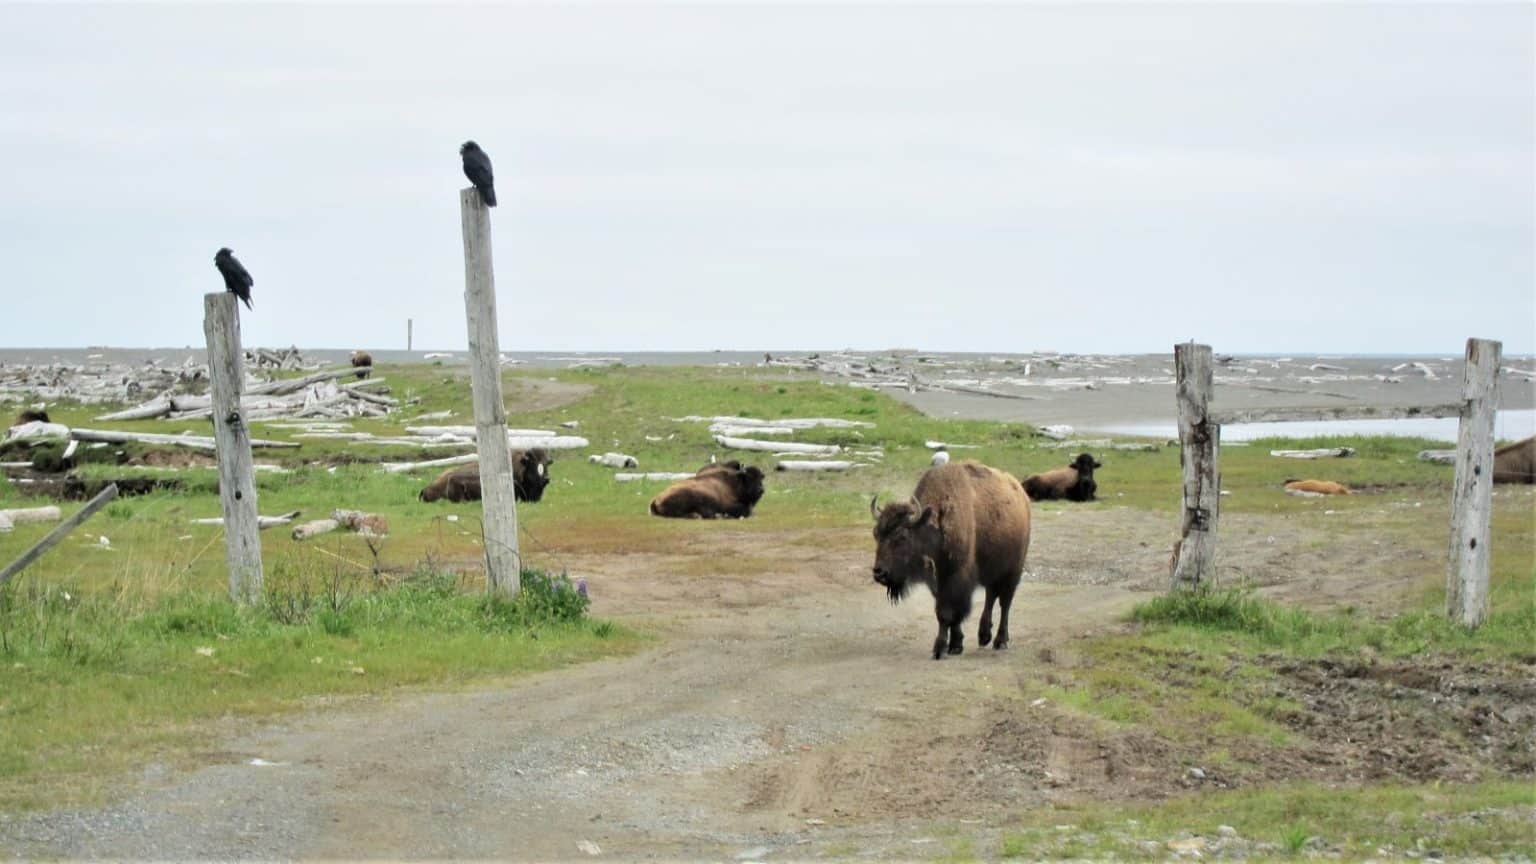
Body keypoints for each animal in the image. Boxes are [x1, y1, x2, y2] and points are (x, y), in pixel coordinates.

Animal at [872, 460, 1032, 660]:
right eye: (876, 534)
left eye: (902, 537)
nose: (879, 573)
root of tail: (1022, 495)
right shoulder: (938, 582)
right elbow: (946, 613)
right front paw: (955, 645)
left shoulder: (956, 578)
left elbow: (946, 613)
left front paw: (939, 649)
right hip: (992, 571)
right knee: (991, 596)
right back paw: (983, 636)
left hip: (1012, 572)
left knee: (1005, 603)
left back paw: (1000, 641)